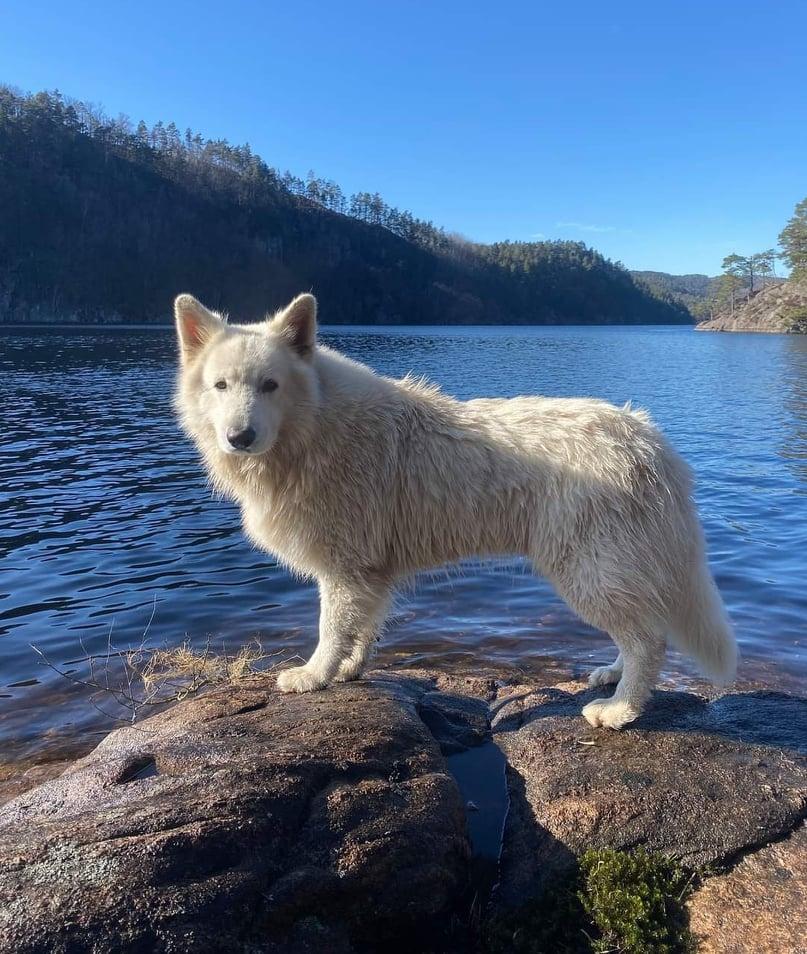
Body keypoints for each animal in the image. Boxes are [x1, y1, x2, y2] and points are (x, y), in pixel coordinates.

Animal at [175, 294, 740, 724]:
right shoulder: (367, 572)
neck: (315, 426)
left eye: (270, 385)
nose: (240, 437)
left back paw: (621, 709)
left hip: (587, 567)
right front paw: (350, 670)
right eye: (220, 386)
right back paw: (613, 675)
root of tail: (648, 440)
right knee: (639, 631)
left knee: (649, 640)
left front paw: (315, 676)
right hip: (604, 568)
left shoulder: (343, 567)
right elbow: (362, 629)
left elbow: (331, 630)